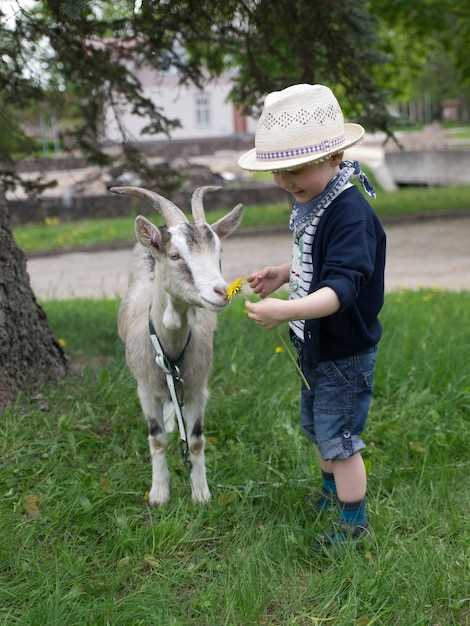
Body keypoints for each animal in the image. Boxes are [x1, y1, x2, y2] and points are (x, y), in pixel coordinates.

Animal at [110, 184, 242, 502]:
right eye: (175, 255)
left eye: (219, 253)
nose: (221, 292)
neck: (169, 351)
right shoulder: (145, 389)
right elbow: (156, 438)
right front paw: (158, 494)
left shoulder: (197, 387)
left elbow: (195, 440)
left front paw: (201, 494)